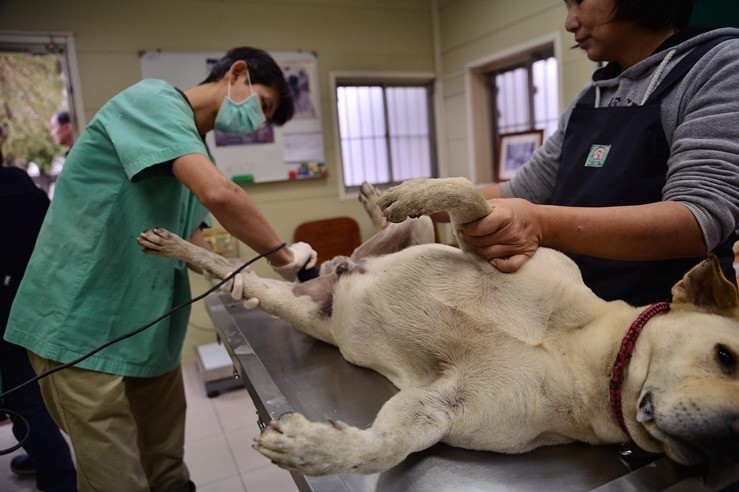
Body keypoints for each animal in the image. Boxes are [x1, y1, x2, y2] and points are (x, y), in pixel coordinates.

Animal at [136, 179, 736, 482]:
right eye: (727, 355)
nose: (729, 433)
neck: (575, 351)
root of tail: (336, 272)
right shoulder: (491, 244)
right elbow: (469, 193)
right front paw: (416, 189)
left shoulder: (436, 408)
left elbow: (383, 446)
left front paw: (319, 449)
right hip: (409, 240)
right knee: (405, 224)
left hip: (291, 305)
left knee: (242, 275)